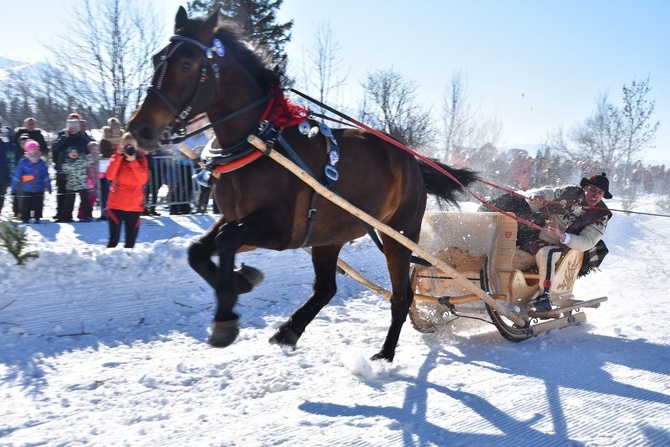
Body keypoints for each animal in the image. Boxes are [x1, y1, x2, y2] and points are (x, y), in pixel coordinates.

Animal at [129, 7, 478, 362]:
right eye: (157, 58)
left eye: (187, 63)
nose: (139, 129)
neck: (260, 142)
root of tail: (412, 160)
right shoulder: (238, 218)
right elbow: (198, 250)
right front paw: (241, 282)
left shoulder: (281, 230)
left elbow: (227, 240)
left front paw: (227, 310)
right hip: (329, 235)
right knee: (327, 288)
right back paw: (290, 329)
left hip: (399, 234)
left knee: (401, 295)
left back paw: (385, 352)